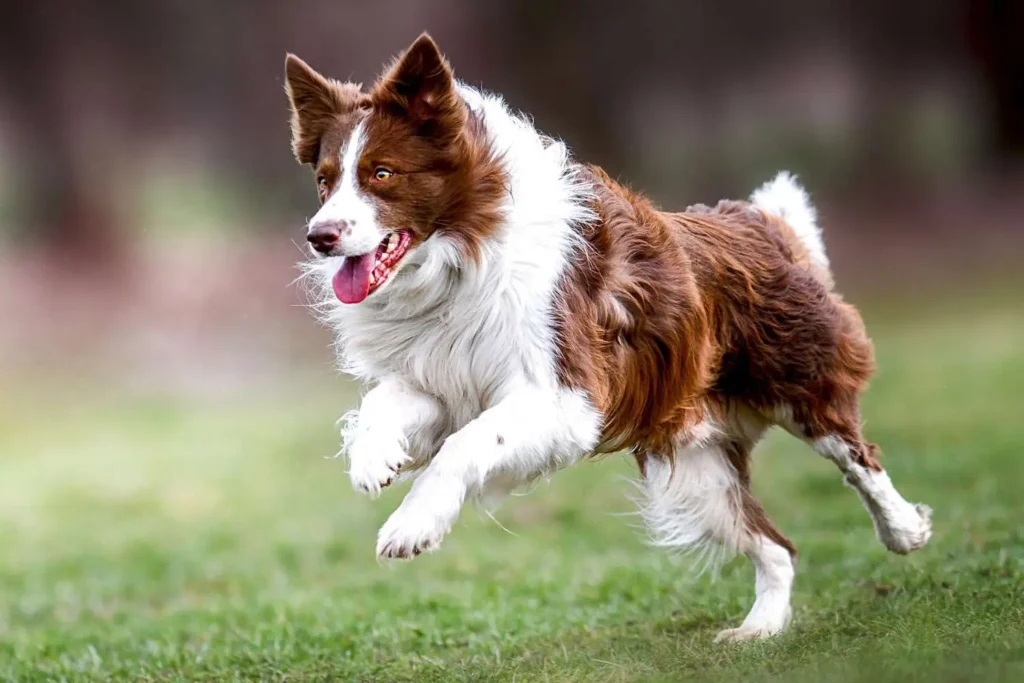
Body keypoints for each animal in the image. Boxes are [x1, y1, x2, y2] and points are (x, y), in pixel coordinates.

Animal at [284, 31, 933, 643]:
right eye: (325, 182)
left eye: (382, 174)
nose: (320, 235)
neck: (461, 255)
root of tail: (757, 221)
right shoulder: (446, 376)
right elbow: (385, 402)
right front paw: (375, 459)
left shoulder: (566, 396)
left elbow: (465, 445)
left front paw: (411, 525)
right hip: (694, 464)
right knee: (775, 545)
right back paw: (760, 629)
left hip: (797, 382)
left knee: (857, 457)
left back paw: (905, 529)